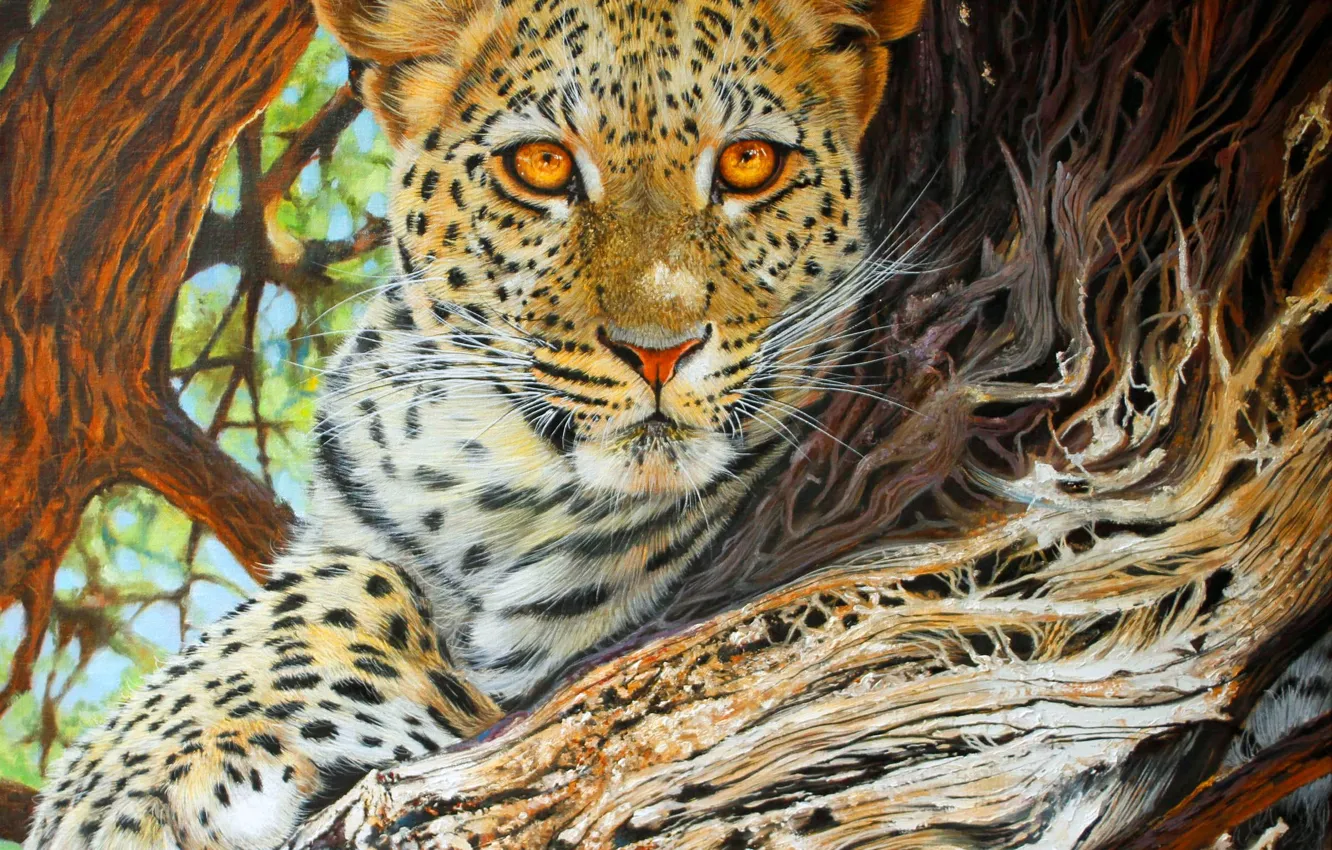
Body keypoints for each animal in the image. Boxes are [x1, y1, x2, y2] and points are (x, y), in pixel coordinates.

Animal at [23, 0, 926, 845]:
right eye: (542, 165)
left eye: (749, 162)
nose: (660, 352)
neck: (487, 473)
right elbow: (335, 579)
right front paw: (110, 778)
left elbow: (354, 590)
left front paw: (114, 792)